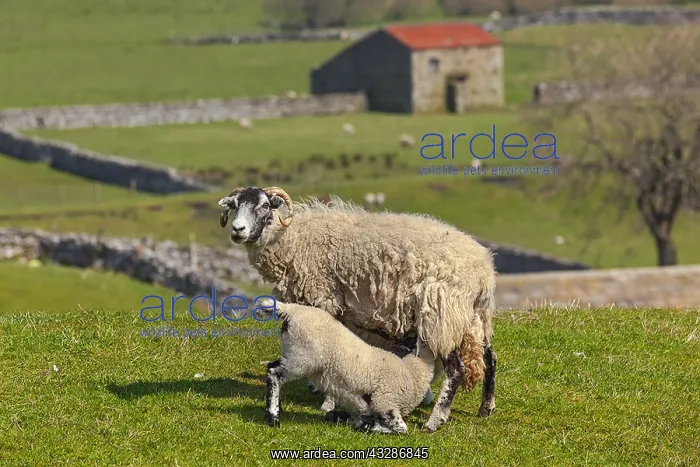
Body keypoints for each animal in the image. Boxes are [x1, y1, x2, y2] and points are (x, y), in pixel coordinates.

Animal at [264, 300, 435, 433]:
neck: (412, 373)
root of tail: (291, 310)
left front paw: (347, 420)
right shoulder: (385, 403)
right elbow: (402, 429)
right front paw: (369, 427)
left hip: (293, 353)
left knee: (273, 369)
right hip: (302, 357)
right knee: (274, 373)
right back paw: (273, 417)